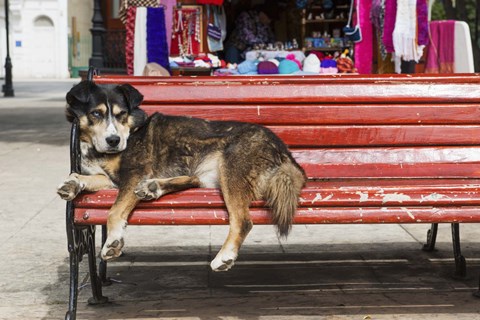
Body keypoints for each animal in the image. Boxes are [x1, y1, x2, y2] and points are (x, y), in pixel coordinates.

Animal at [56, 81, 304, 272]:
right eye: (96, 114)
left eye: (121, 114)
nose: (114, 140)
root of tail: (285, 153)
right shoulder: (111, 179)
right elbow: (82, 175)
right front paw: (72, 183)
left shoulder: (134, 174)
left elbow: (115, 211)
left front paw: (113, 242)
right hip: (208, 172)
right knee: (192, 179)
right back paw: (153, 187)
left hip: (231, 167)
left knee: (242, 221)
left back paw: (224, 257)